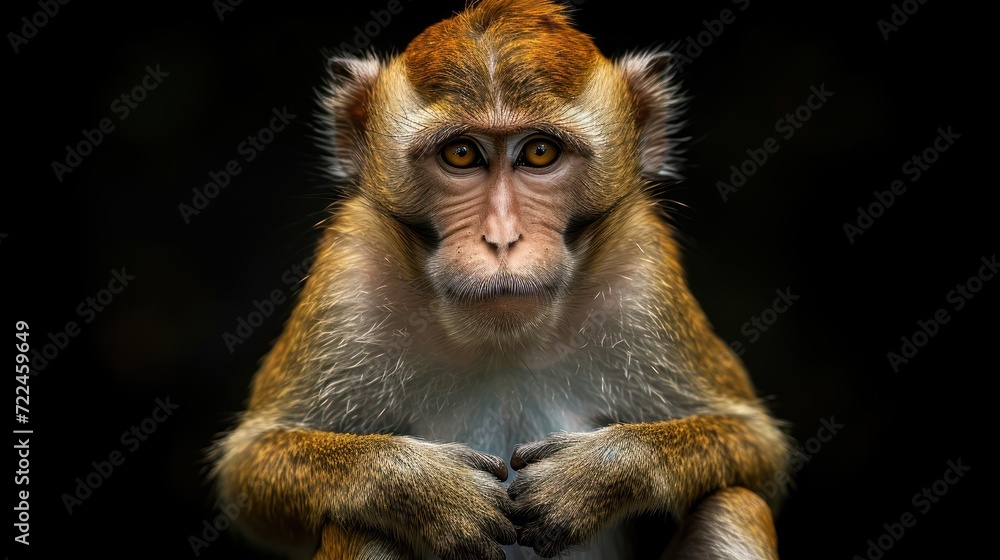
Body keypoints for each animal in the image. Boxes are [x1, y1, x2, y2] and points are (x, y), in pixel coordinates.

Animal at [210, 0, 794, 558]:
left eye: (539, 152)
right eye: (461, 153)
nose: (502, 238)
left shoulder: (640, 276)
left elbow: (756, 448)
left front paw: (600, 472)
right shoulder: (352, 276)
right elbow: (251, 466)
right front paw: (423, 488)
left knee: (733, 503)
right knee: (361, 526)